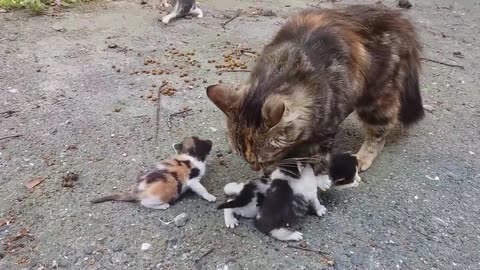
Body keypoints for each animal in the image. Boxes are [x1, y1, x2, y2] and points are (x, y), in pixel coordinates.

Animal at [206, 5, 424, 176]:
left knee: (381, 130)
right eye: (243, 157)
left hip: (376, 97)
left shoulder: (323, 136)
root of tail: (396, 16)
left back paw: (363, 157)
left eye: (263, 158)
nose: (255, 168)